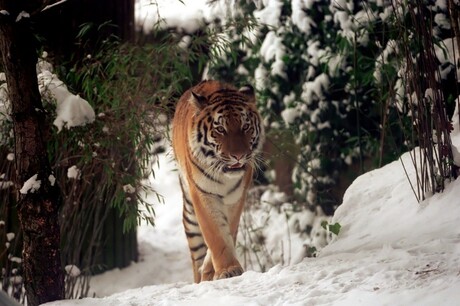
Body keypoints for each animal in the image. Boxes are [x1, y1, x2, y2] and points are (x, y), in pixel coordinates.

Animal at [172, 79, 266, 282]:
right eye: (220, 129)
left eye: (245, 127)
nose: (239, 156)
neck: (225, 176)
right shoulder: (203, 194)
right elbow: (215, 234)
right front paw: (228, 269)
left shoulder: (236, 196)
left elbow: (228, 229)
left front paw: (214, 269)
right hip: (190, 213)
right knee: (197, 252)